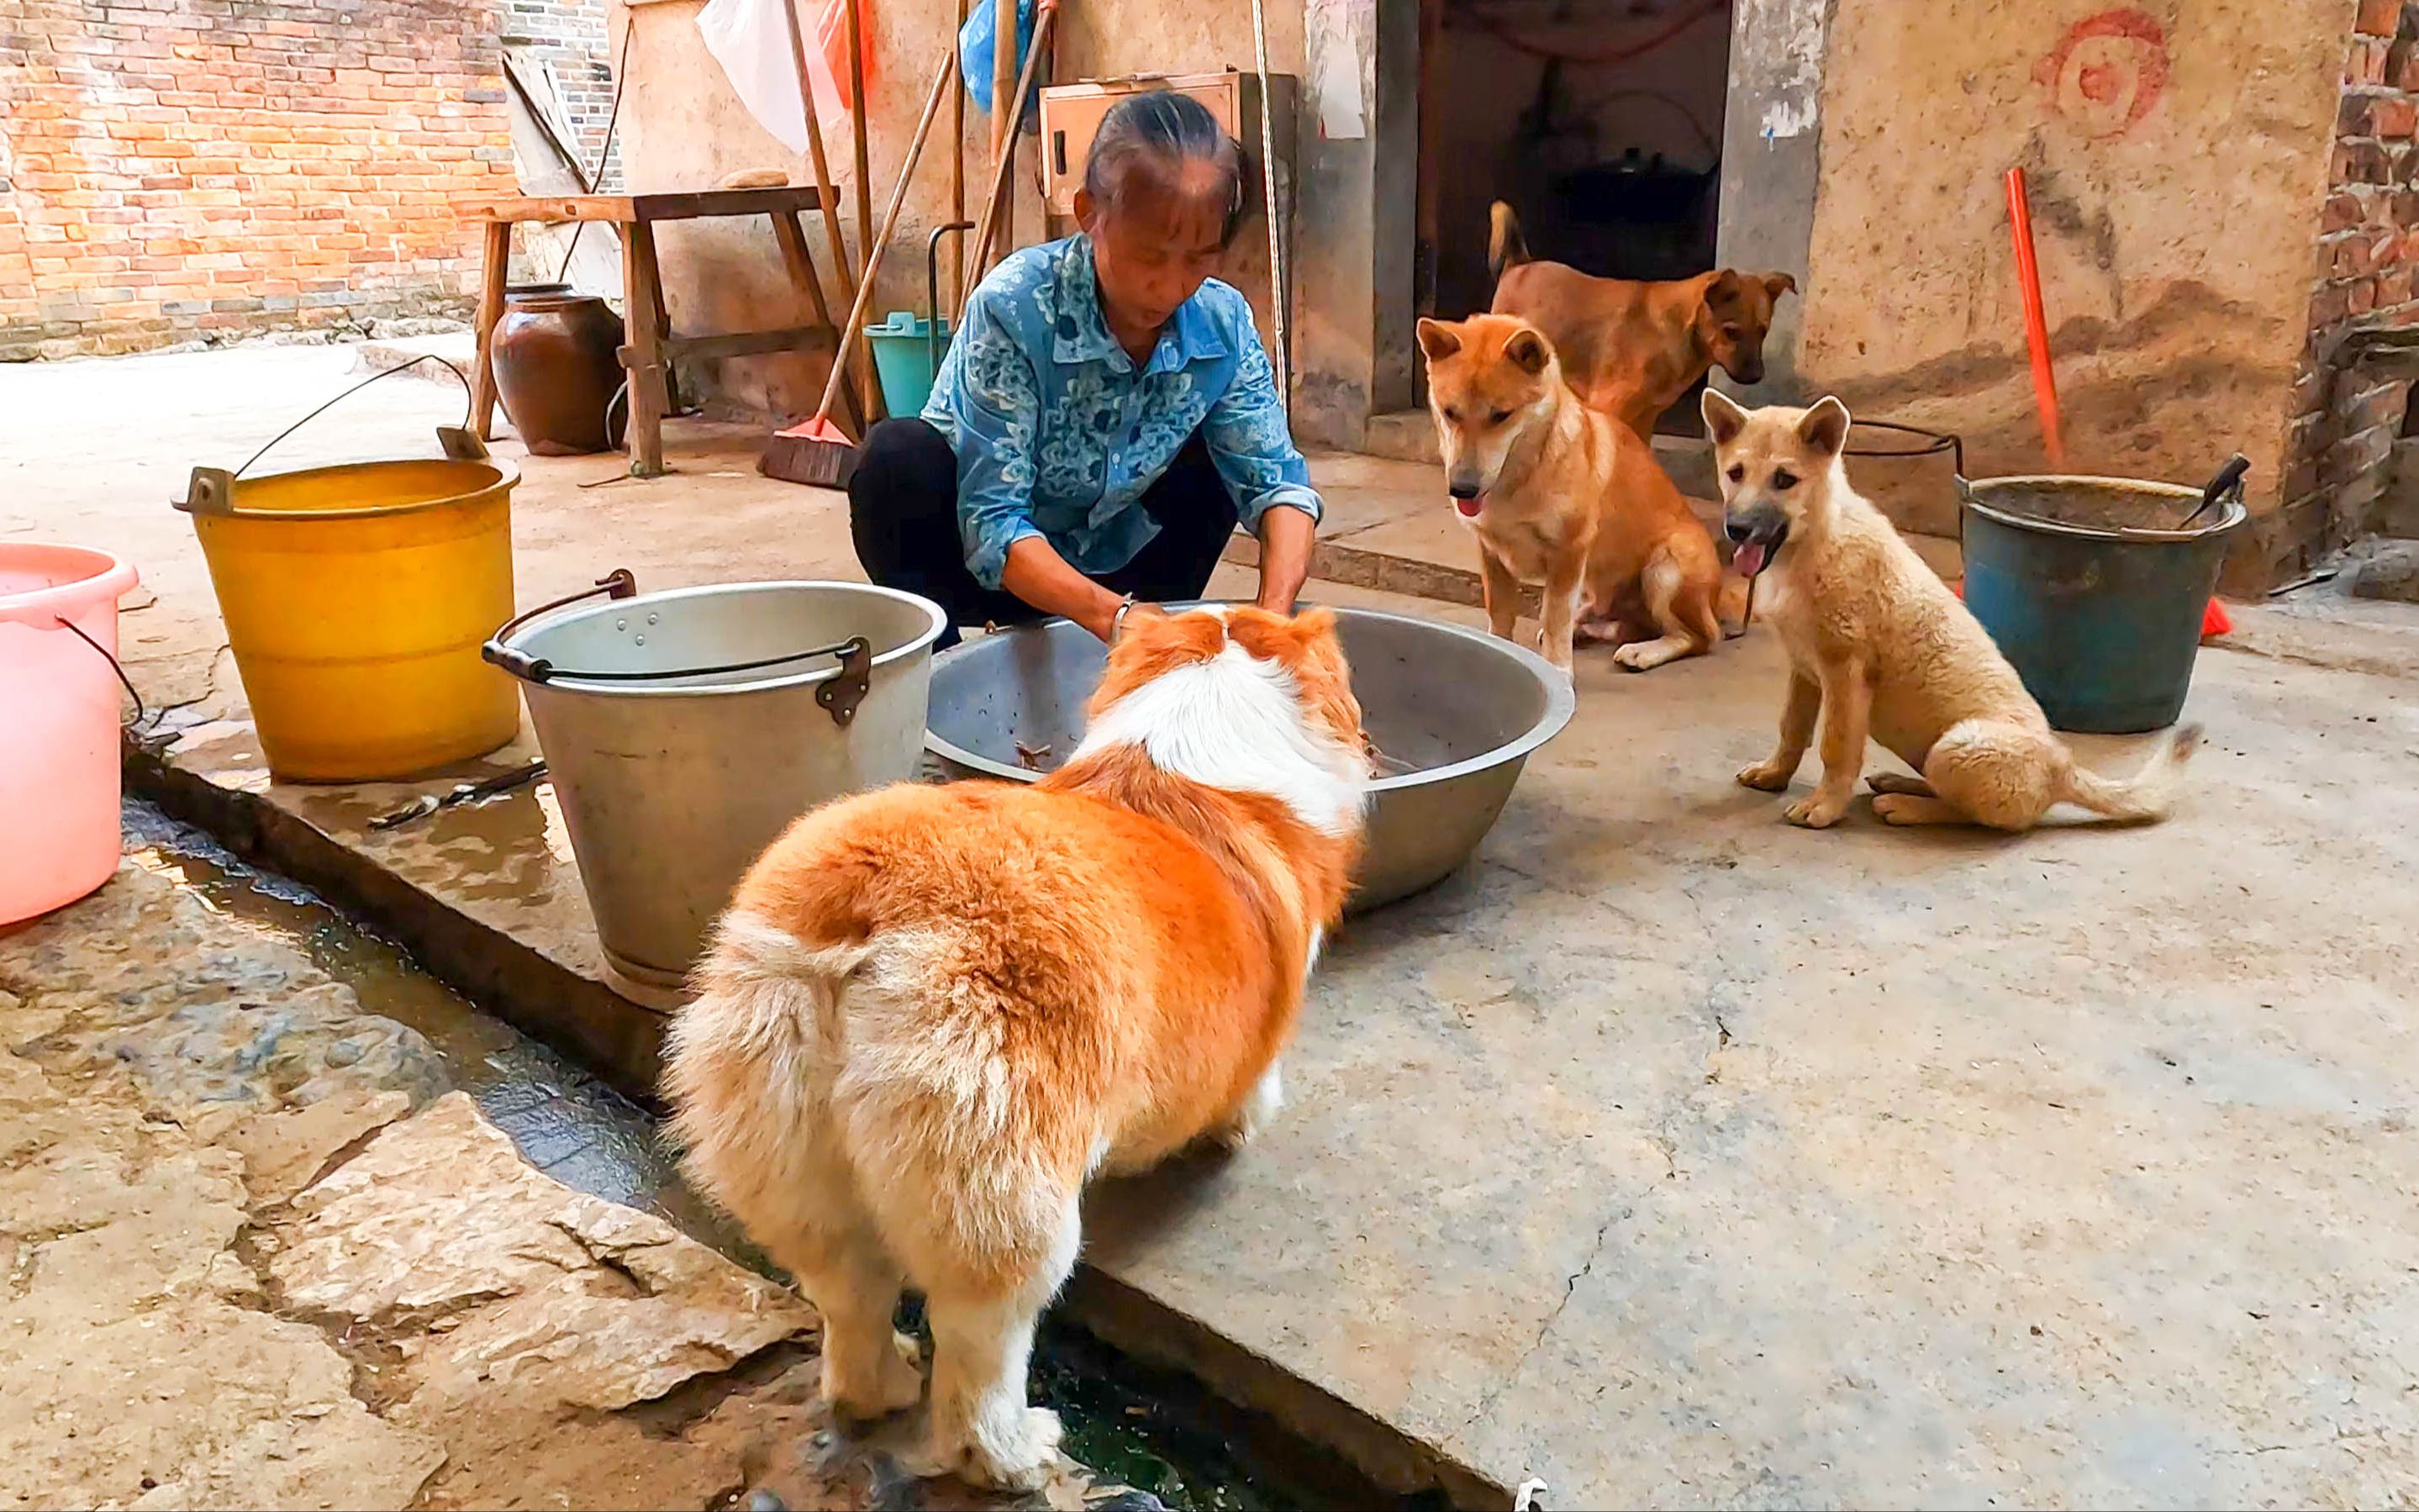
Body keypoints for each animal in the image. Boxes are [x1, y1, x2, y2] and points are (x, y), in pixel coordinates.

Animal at [662, 602, 1373, 1490]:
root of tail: (867, 905)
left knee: (848, 1293)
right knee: (981, 1346)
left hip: (789, 1148)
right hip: (1003, 1193)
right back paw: (1013, 1450)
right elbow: (1248, 1092)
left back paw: (882, 1384)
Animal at [1412, 309, 1742, 677]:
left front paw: (1557, 671)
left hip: (1666, 567)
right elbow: (1500, 613)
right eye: (1449, 412)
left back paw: (1643, 652)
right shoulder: (1491, 551)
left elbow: (1554, 615)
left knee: (1697, 636)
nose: (1461, 488)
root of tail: (1718, 596)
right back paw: (1589, 628)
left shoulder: (1569, 552)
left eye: (1501, 415)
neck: (1518, 481)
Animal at [1712, 389, 2206, 832]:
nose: (1737, 529)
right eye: (1735, 473)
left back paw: (1905, 807)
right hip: (1934, 751)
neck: (1812, 542)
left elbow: (1836, 748)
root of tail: (2062, 768)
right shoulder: (1804, 670)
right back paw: (1899, 784)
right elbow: (1791, 730)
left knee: (1976, 817)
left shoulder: (1844, 673)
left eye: (1784, 480)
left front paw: (1825, 807)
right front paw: (1774, 774)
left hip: (1956, 748)